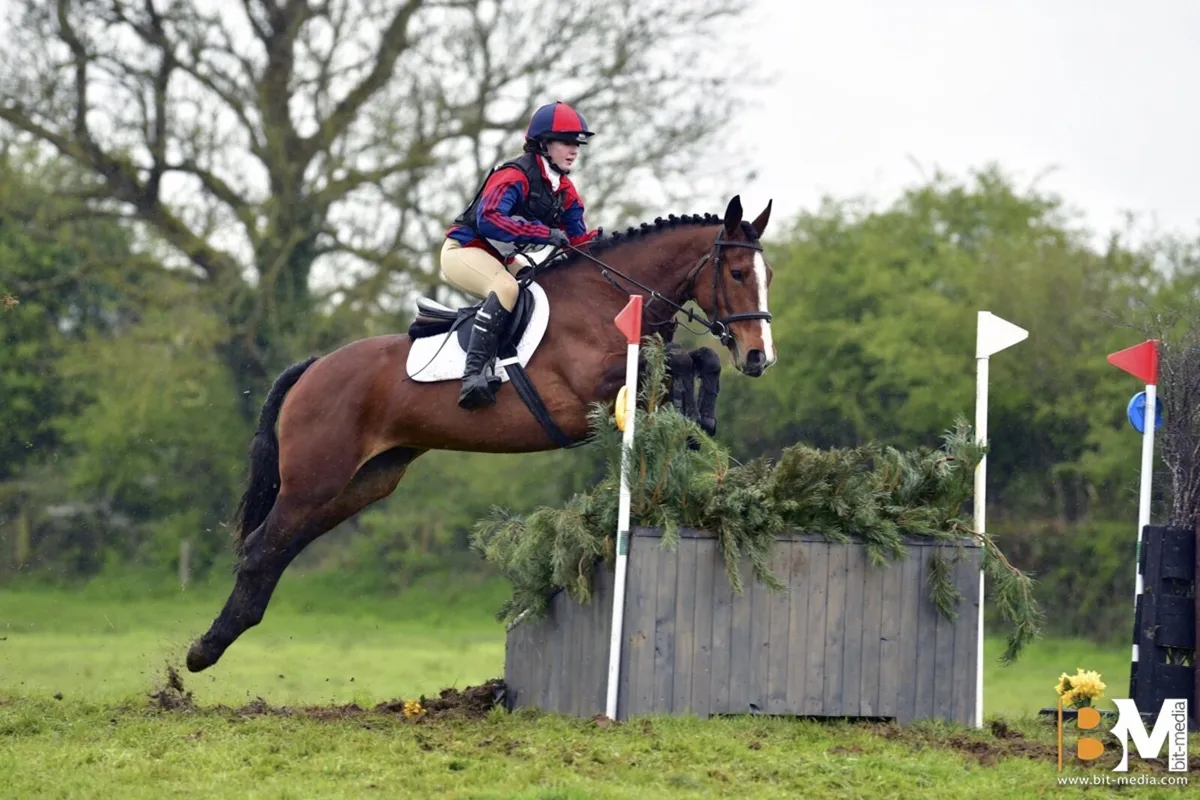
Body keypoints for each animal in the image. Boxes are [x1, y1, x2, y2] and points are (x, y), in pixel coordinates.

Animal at [185, 194, 778, 673]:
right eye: (737, 274)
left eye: (766, 274)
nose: (758, 357)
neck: (605, 296)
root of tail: (312, 369)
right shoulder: (592, 383)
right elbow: (681, 358)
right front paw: (698, 417)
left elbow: (695, 359)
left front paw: (700, 422)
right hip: (315, 479)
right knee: (262, 547)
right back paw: (202, 652)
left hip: (362, 482)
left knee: (280, 547)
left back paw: (224, 636)